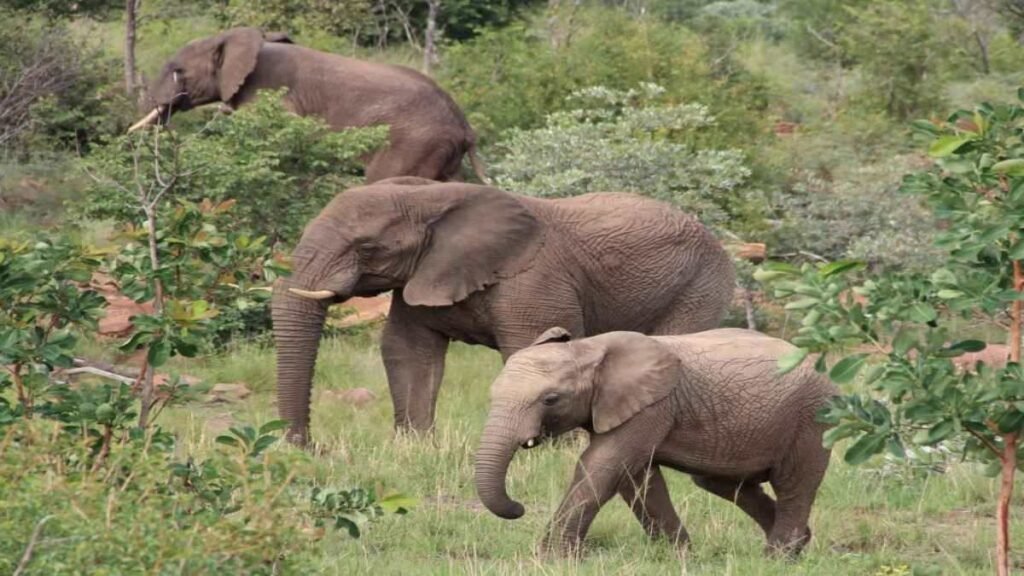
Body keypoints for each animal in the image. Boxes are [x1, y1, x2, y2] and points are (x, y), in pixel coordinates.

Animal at [276, 176, 733, 444]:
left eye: (368, 246)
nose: (307, 446)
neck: (431, 195)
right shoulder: (422, 275)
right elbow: (408, 350)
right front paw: (417, 445)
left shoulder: (534, 282)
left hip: (701, 284)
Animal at [475, 327, 835, 557]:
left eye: (551, 399)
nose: (518, 507)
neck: (588, 348)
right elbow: (637, 479)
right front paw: (680, 556)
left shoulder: (652, 407)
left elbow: (602, 466)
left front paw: (552, 557)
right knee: (722, 483)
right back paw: (801, 543)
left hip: (812, 417)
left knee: (794, 484)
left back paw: (777, 557)